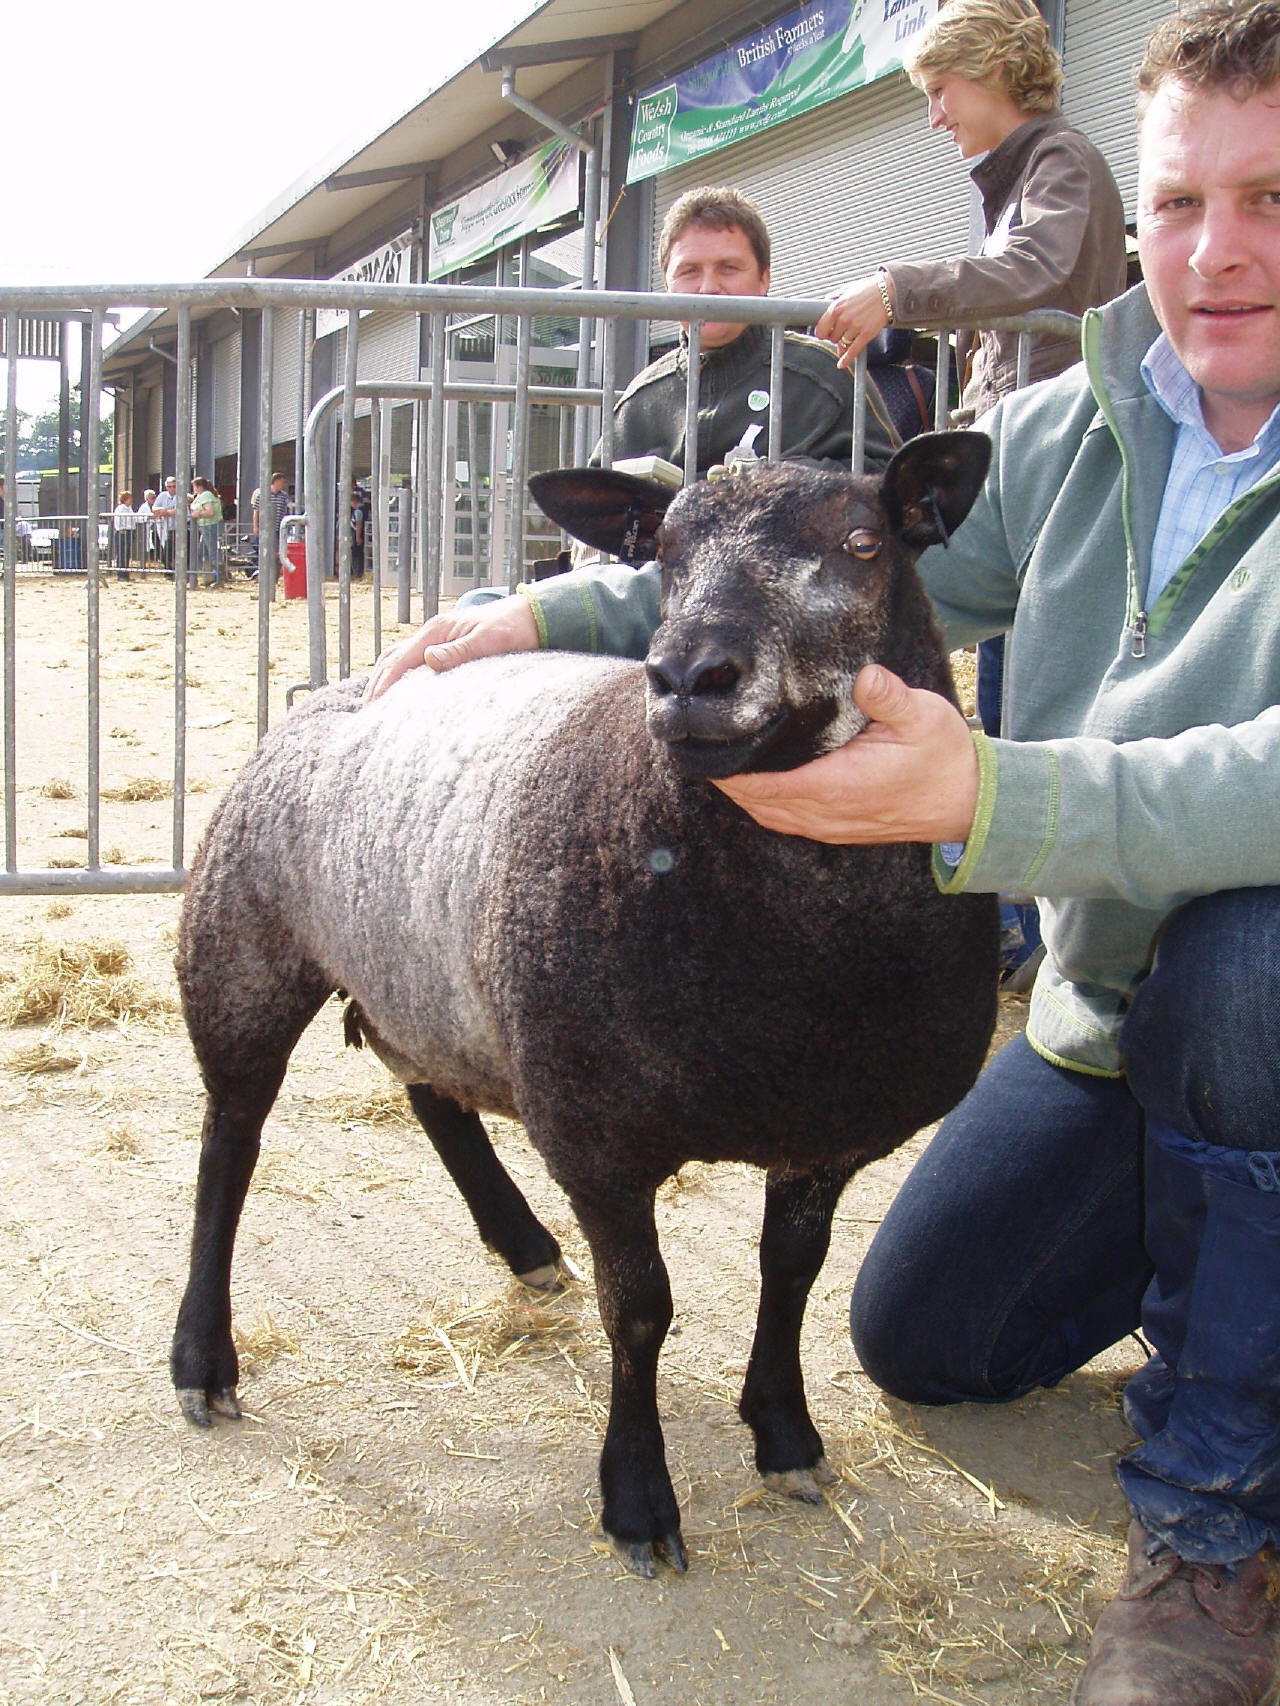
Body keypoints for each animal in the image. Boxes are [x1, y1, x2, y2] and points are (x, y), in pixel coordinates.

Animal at [171, 435, 999, 1578]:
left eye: (863, 542)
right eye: (667, 553)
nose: (690, 678)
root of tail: (331, 686)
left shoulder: (825, 1129)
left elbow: (791, 1272)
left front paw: (784, 1433)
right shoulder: (596, 1131)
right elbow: (641, 1310)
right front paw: (638, 1499)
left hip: (430, 979)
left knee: (430, 1091)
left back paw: (521, 1242)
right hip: (240, 949)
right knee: (229, 1145)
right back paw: (202, 1355)